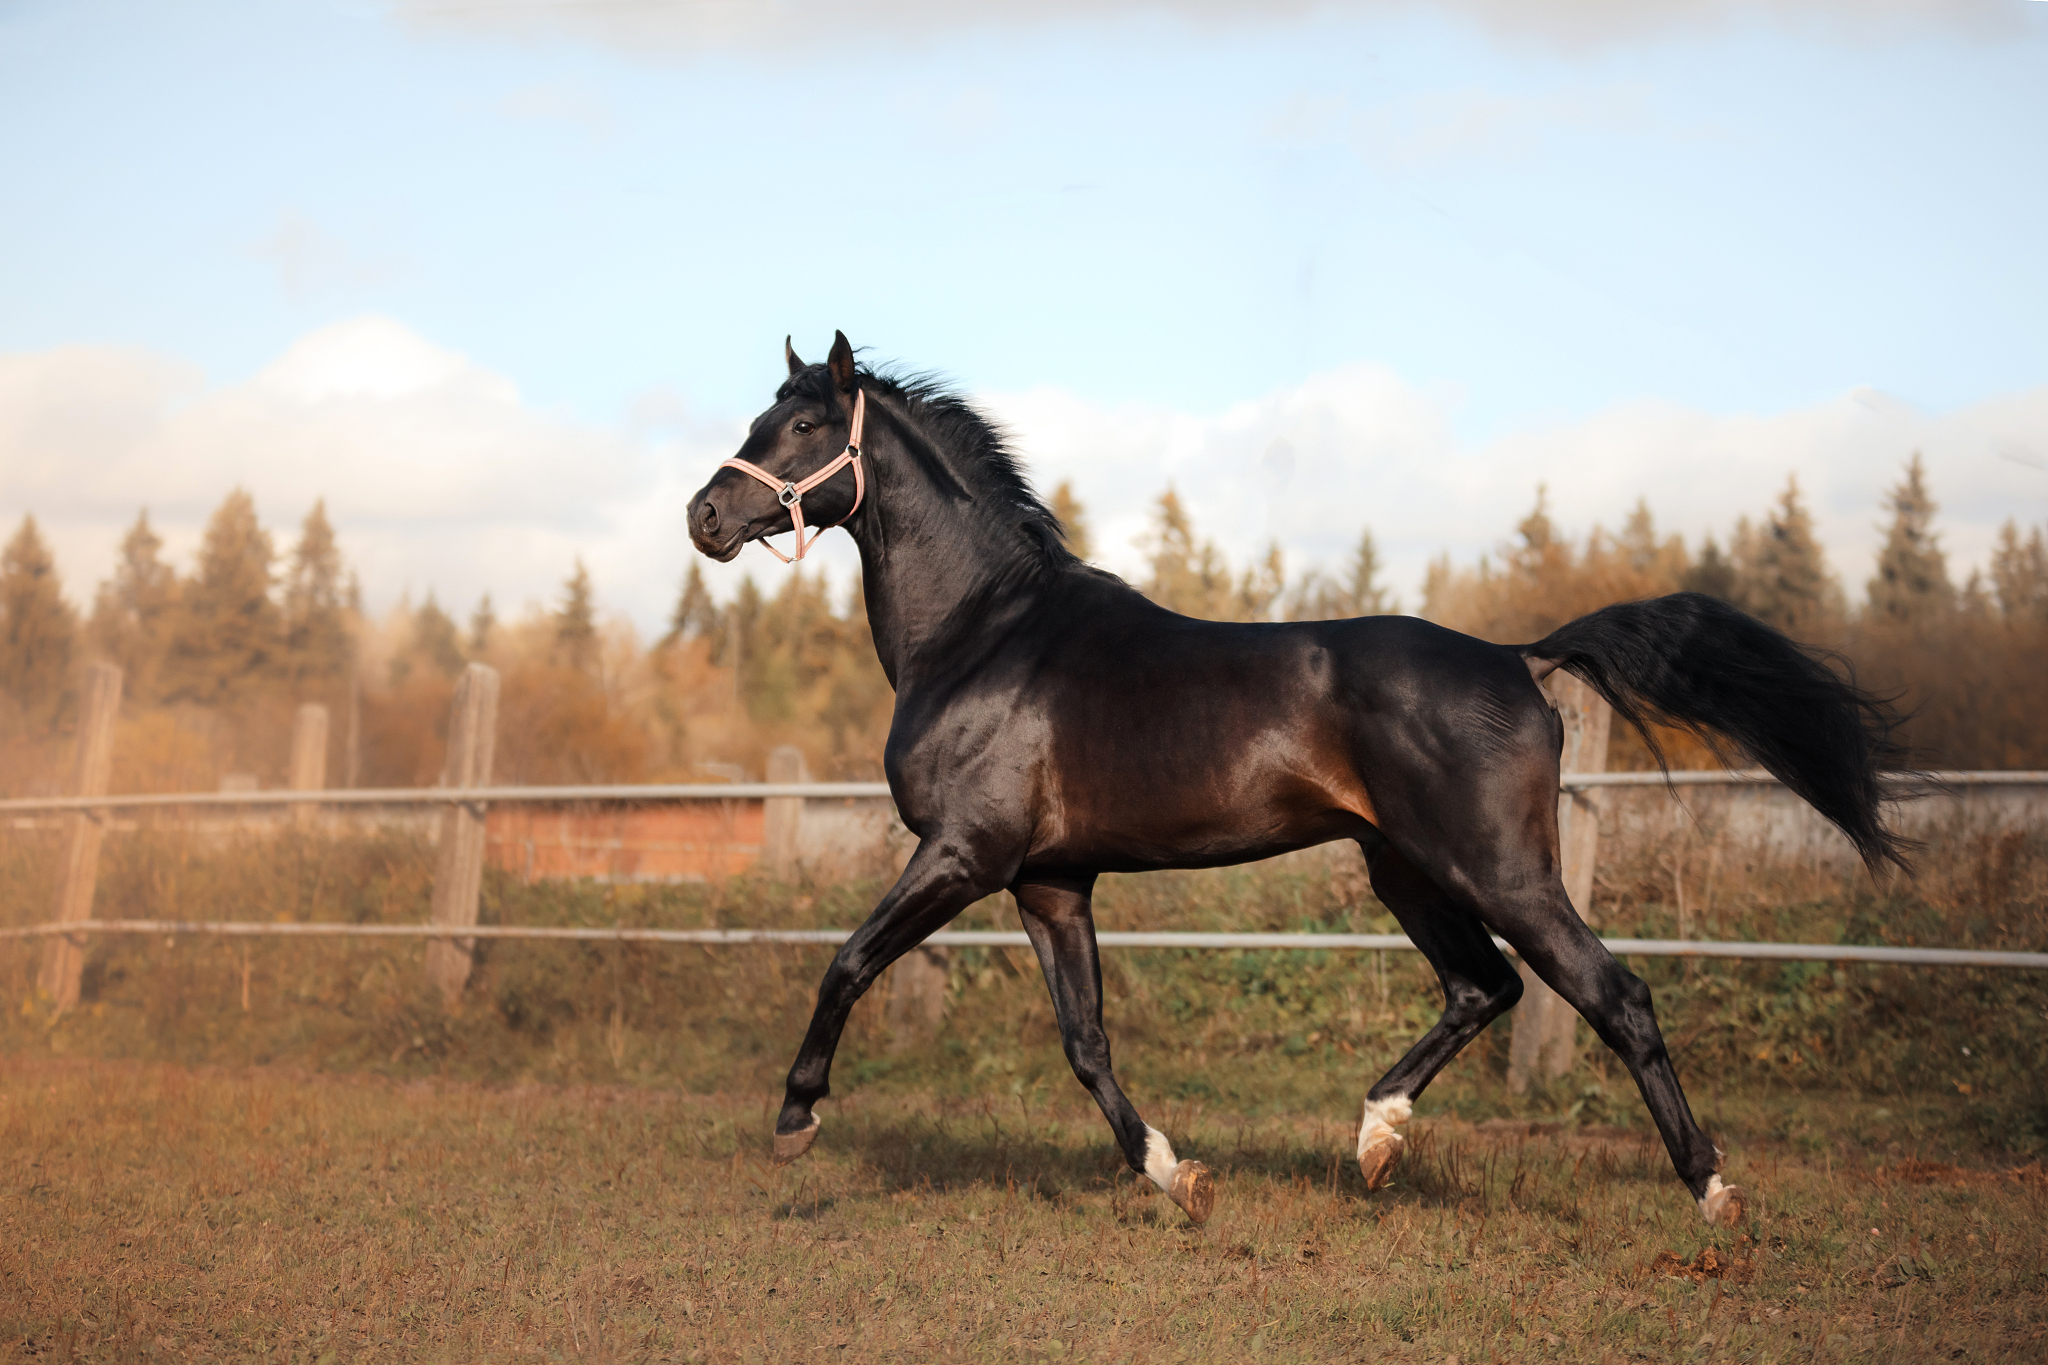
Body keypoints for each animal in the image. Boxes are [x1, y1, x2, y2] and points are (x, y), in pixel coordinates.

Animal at [685, 331, 1904, 1228]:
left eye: (802, 424)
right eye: (760, 417)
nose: (703, 517)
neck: (987, 634)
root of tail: (1518, 659)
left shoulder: (960, 854)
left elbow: (847, 961)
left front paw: (795, 1120)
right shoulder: (1049, 881)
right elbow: (1085, 1043)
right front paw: (1175, 1174)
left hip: (1497, 869)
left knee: (1611, 996)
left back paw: (1711, 1190)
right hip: (1405, 868)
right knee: (1484, 988)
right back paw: (1375, 1139)